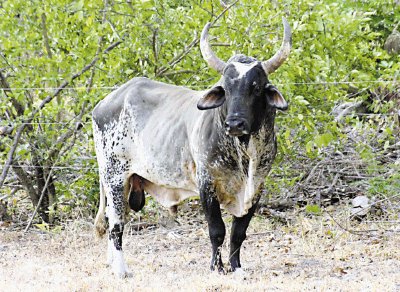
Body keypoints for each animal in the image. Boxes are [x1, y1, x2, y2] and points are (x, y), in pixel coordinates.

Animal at [92, 17, 292, 278]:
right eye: (225, 89)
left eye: (256, 87)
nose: (235, 123)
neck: (243, 154)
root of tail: (106, 102)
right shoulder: (206, 184)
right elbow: (217, 230)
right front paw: (217, 267)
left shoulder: (256, 187)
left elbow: (239, 232)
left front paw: (237, 268)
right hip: (114, 176)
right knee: (116, 224)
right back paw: (121, 270)